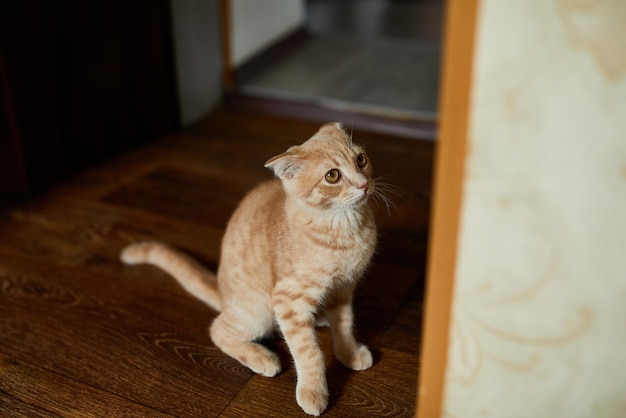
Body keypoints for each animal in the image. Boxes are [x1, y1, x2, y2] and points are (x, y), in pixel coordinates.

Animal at [120, 122, 378, 416]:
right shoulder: (289, 299)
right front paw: (313, 391)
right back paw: (261, 357)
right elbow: (307, 350)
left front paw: (348, 351)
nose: (363, 184)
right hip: (258, 312)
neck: (344, 229)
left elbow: (344, 323)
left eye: (361, 160)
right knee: (218, 329)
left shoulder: (344, 288)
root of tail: (223, 294)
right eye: (332, 176)